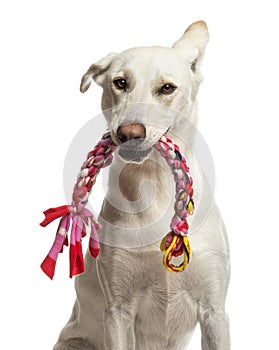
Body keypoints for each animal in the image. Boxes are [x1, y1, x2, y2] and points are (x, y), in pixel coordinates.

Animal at [53, 20, 231, 348]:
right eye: (120, 83)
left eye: (167, 88)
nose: (129, 133)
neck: (155, 185)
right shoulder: (118, 310)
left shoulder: (214, 310)